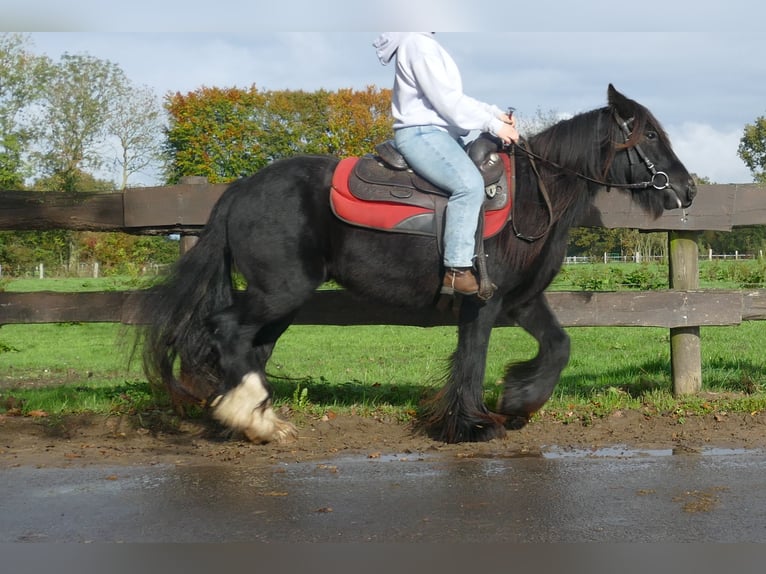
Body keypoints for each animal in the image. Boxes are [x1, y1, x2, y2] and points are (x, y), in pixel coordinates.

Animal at [137, 84, 696, 444]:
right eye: (649, 137)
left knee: (250, 346)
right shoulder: (482, 303)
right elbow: (472, 359)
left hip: (282, 301)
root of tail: (239, 190)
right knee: (226, 330)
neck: (530, 200)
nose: (688, 189)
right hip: (280, 291)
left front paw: (519, 400)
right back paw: (249, 418)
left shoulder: (521, 301)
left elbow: (558, 347)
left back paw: (254, 419)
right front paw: (471, 426)